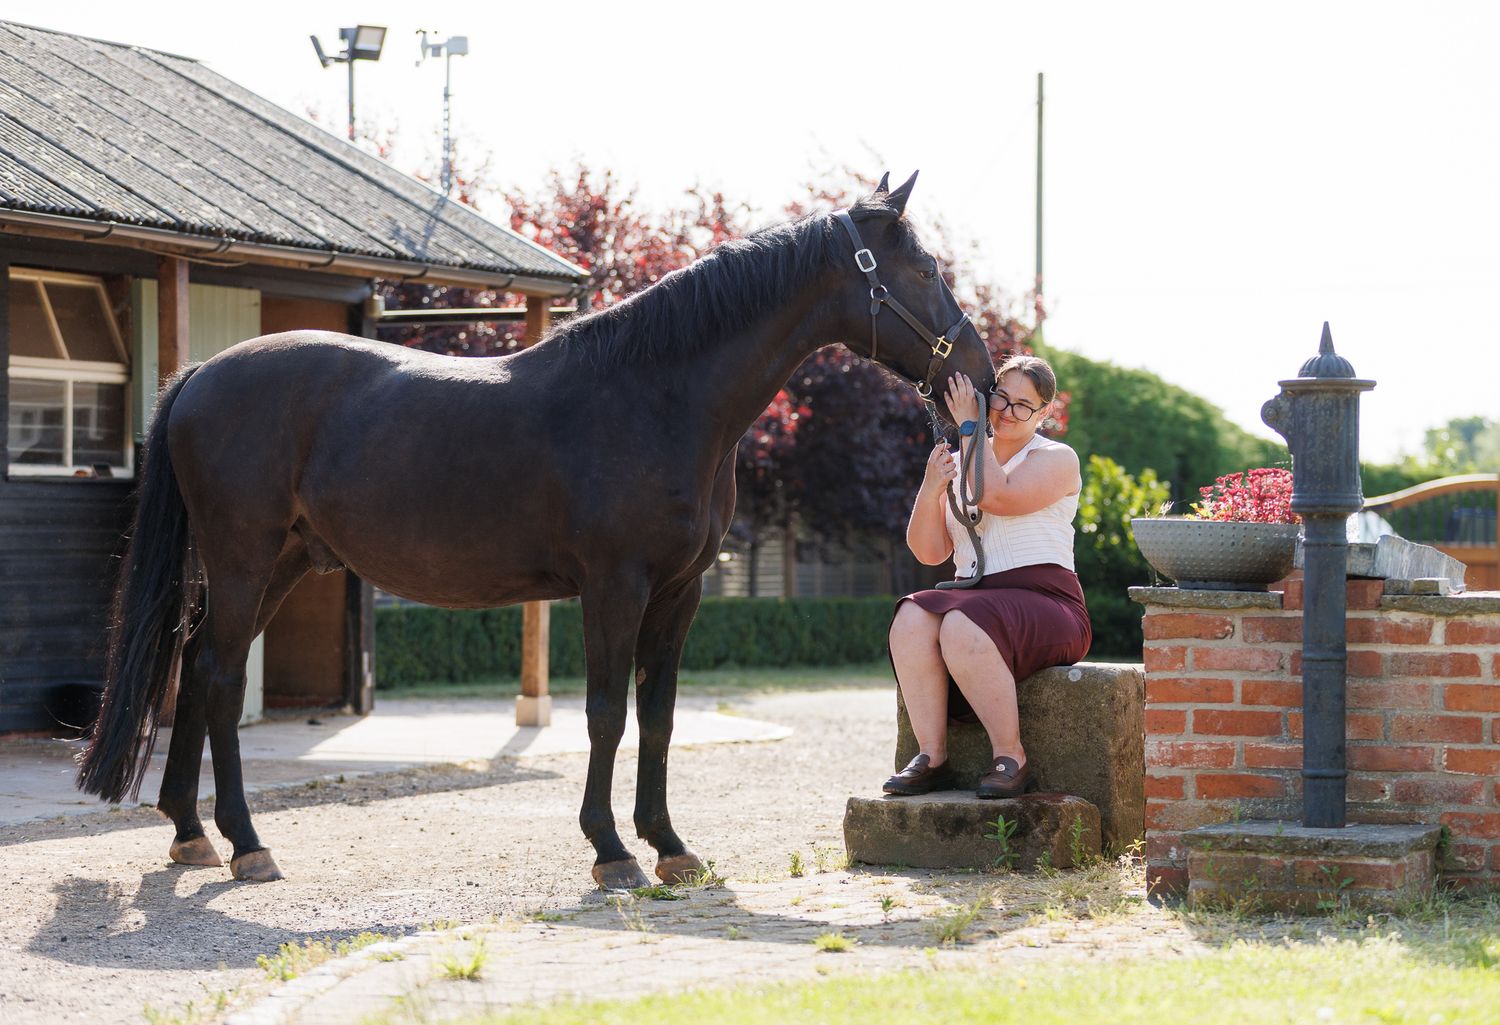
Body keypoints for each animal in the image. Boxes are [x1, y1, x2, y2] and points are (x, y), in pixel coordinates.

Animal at [76, 171, 996, 889]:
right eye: (924, 267)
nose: (981, 374)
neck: (657, 396)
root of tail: (200, 374)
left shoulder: (680, 592)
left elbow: (658, 715)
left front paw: (671, 846)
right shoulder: (613, 587)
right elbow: (606, 713)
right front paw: (611, 851)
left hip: (283, 564)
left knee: (196, 665)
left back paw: (191, 832)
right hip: (243, 558)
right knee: (222, 677)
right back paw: (246, 843)